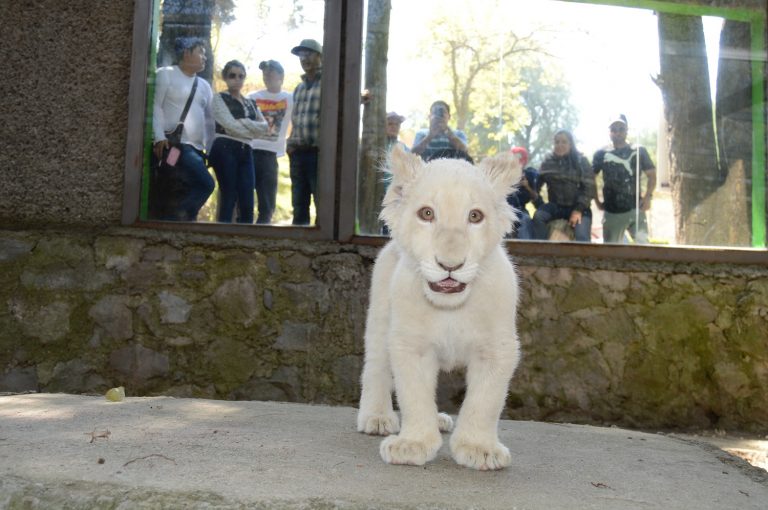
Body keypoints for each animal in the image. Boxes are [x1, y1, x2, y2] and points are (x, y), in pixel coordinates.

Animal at [357, 146, 522, 470]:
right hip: (379, 321)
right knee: (376, 367)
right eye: (427, 213)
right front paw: (413, 444)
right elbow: (414, 395)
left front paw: (479, 449)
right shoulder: (410, 345)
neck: (450, 310)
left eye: (475, 216)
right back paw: (377, 417)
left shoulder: (497, 349)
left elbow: (485, 401)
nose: (450, 265)